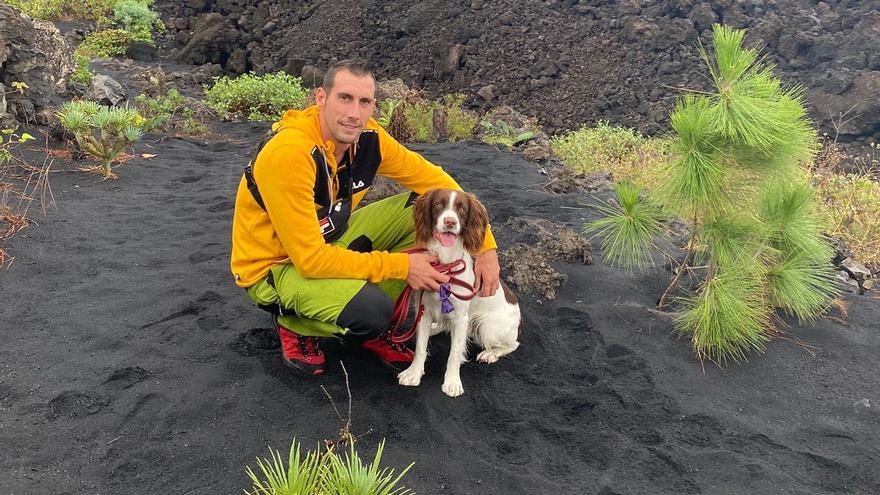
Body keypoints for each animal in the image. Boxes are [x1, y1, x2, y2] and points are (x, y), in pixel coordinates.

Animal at [396, 188, 520, 398]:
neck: (445, 265)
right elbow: (420, 347)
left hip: (487, 327)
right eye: (438, 204)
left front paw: (452, 383)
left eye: (462, 209)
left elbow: (454, 354)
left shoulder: (462, 317)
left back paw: (490, 353)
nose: (450, 222)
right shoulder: (424, 310)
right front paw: (413, 373)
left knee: (512, 345)